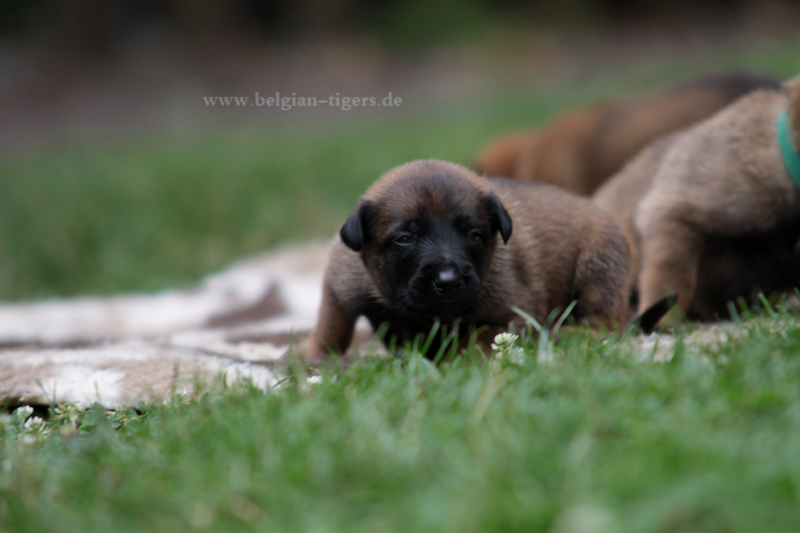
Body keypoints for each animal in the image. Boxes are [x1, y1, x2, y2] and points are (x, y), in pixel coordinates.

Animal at [296, 159, 631, 361]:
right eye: (405, 238)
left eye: (474, 235)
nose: (449, 281)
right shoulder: (341, 282)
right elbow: (331, 321)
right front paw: (312, 352)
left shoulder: (511, 314)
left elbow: (473, 339)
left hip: (599, 265)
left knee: (606, 320)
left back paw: (572, 333)